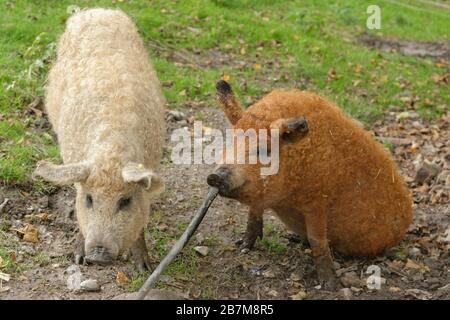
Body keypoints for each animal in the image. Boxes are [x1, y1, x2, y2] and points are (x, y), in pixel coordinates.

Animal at [32, 8, 165, 272]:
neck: (111, 153)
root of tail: (97, 10)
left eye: (125, 201)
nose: (99, 255)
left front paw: (145, 268)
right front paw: (78, 259)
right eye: (89, 199)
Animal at [207, 79, 412, 288]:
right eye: (230, 142)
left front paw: (330, 285)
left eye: (263, 150)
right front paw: (241, 247)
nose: (215, 176)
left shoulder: (318, 201)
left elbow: (317, 239)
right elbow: (253, 215)